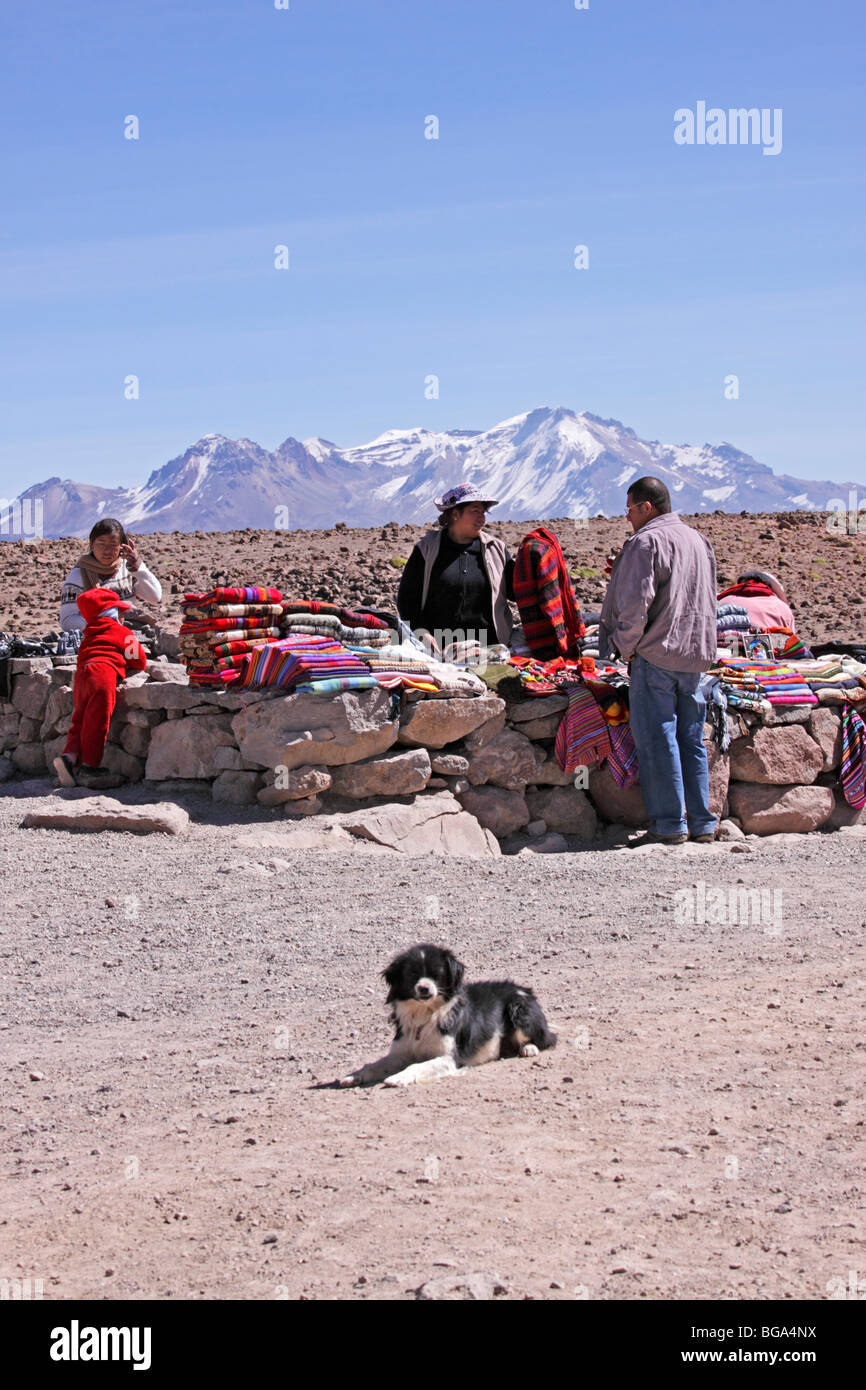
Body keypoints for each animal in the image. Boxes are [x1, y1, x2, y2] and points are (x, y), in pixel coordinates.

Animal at [339, 939, 556, 1089]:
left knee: (548, 1038)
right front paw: (352, 1076)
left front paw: (398, 1078)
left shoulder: (449, 1058)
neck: (424, 1015)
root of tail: (524, 990)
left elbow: (416, 1066)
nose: (424, 988)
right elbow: (373, 1065)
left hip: (517, 1009)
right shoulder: (400, 1053)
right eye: (412, 975)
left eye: (437, 975)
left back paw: (529, 1048)